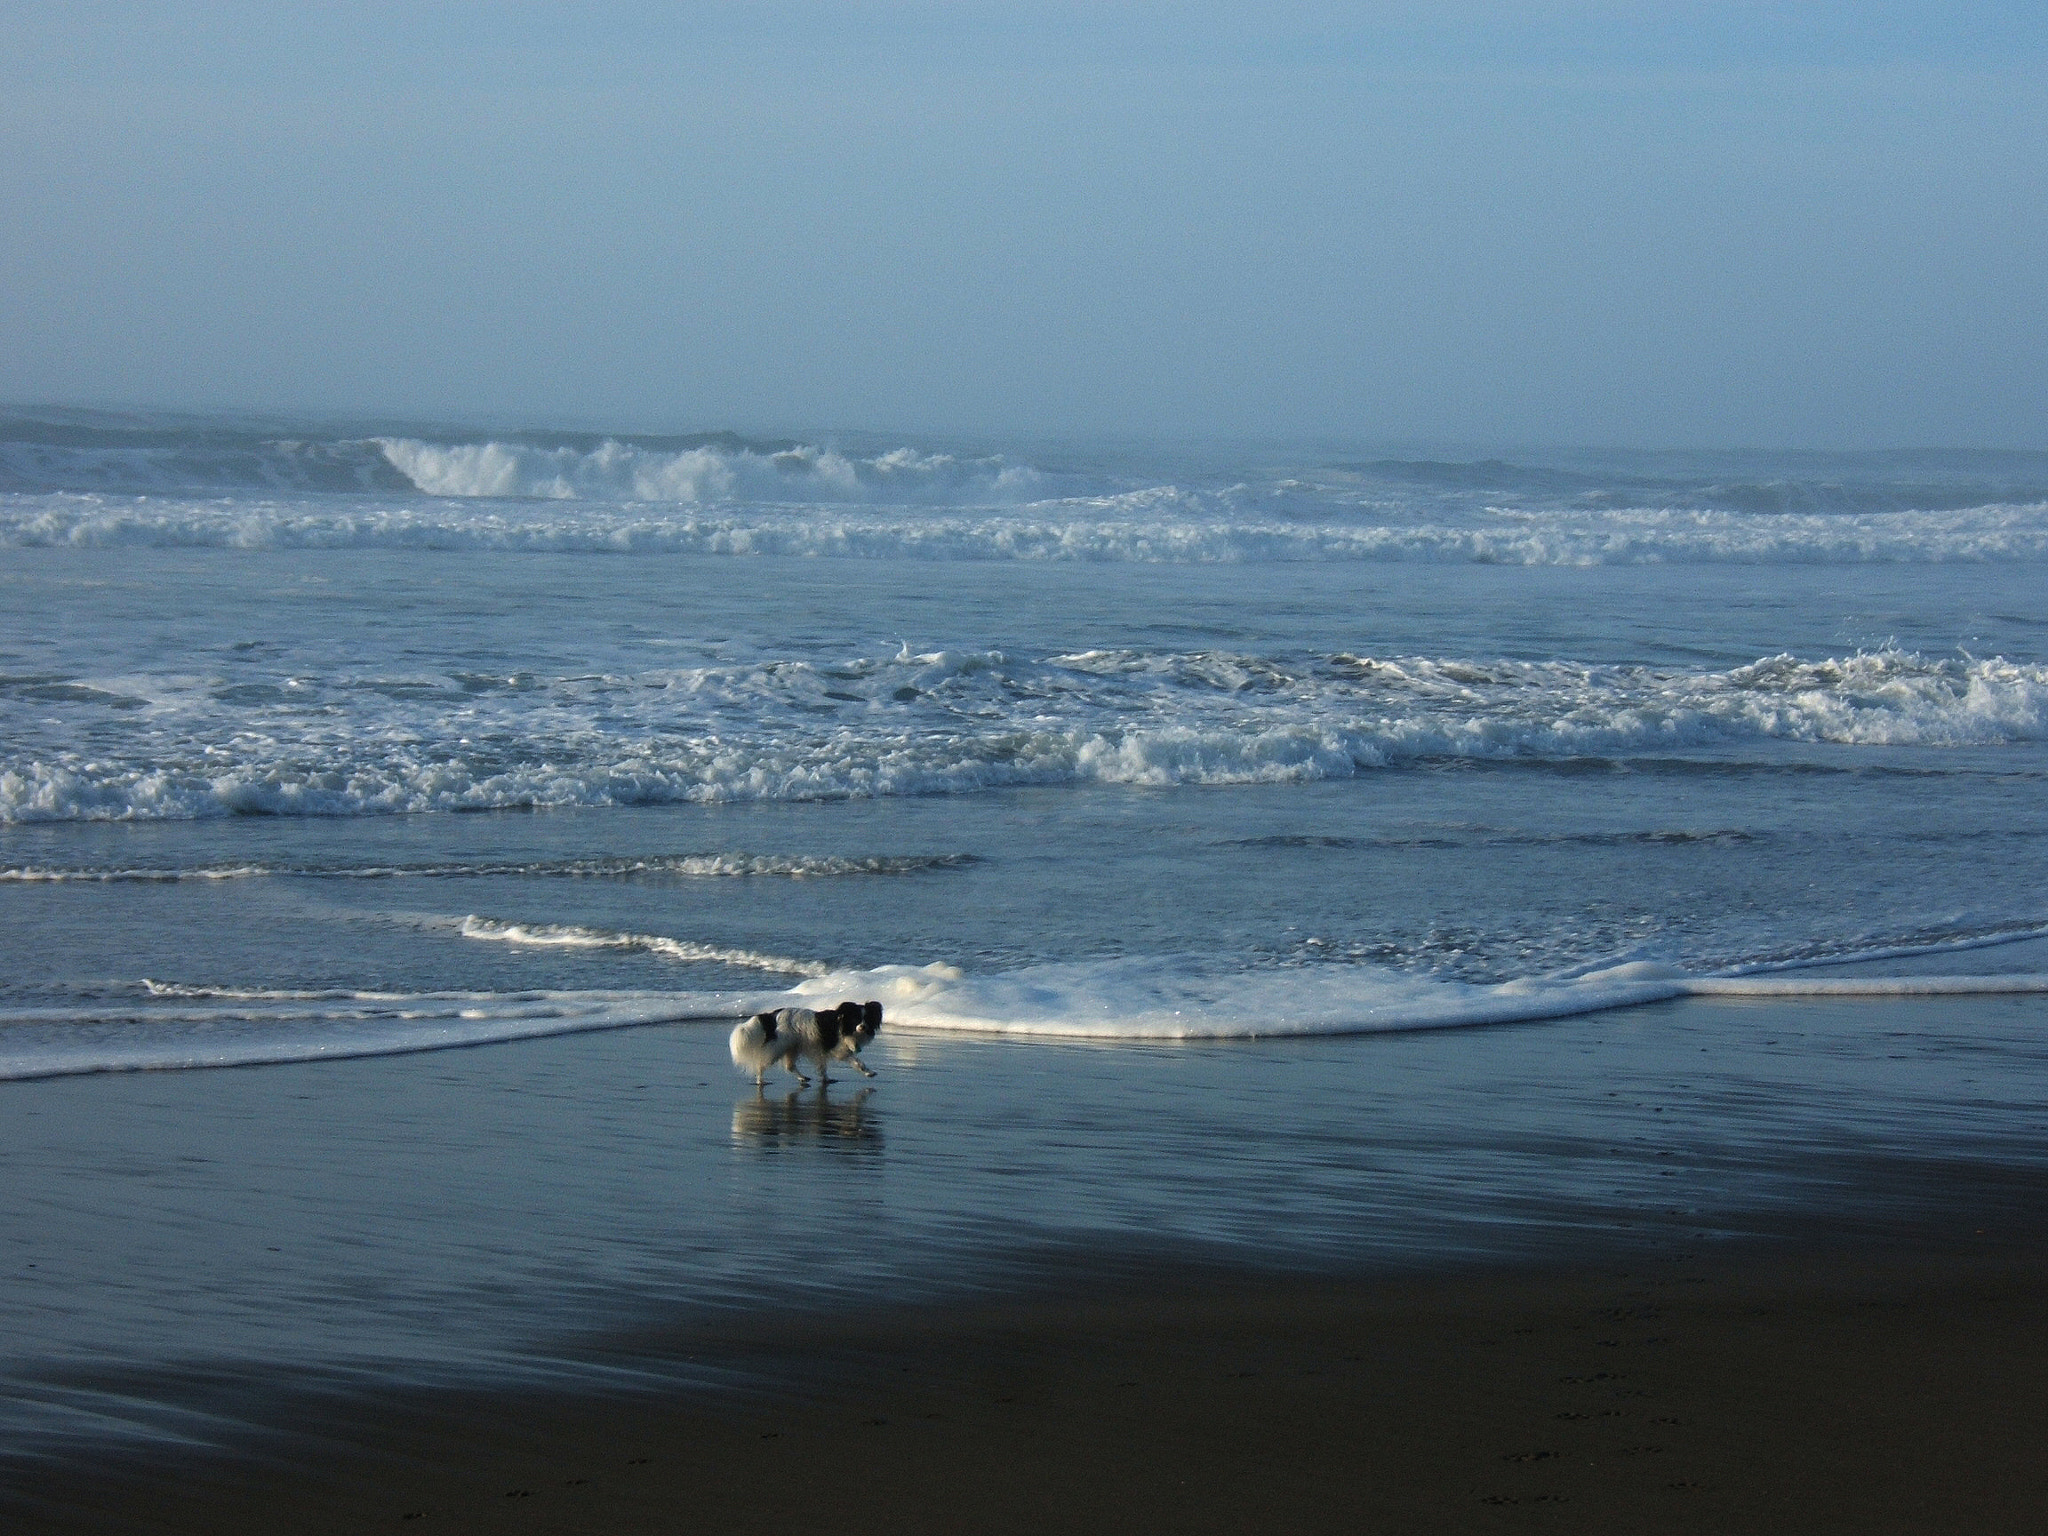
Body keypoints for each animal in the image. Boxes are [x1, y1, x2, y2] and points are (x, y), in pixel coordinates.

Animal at [733, 1003, 884, 1089]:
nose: (863, 1027)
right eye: (855, 1019)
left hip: (792, 1047)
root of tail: (772, 1016)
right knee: (761, 1064)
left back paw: (802, 1078)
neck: (845, 1026)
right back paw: (760, 1081)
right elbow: (858, 1062)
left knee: (790, 1066)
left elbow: (822, 1068)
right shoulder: (839, 1050)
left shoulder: (820, 1050)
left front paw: (825, 1079)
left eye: (867, 1019)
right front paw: (869, 1072)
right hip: (778, 1048)